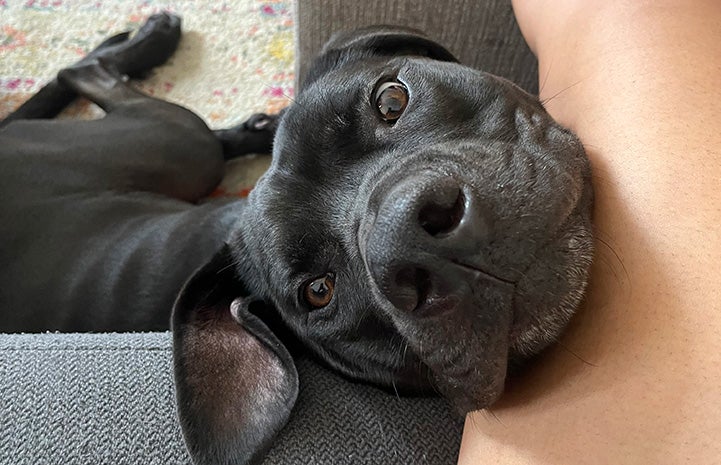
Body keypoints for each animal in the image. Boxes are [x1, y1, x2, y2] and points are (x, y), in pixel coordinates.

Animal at [0, 11, 592, 464]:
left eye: (391, 100)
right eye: (317, 292)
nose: (412, 242)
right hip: (177, 145)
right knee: (84, 70)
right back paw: (154, 40)